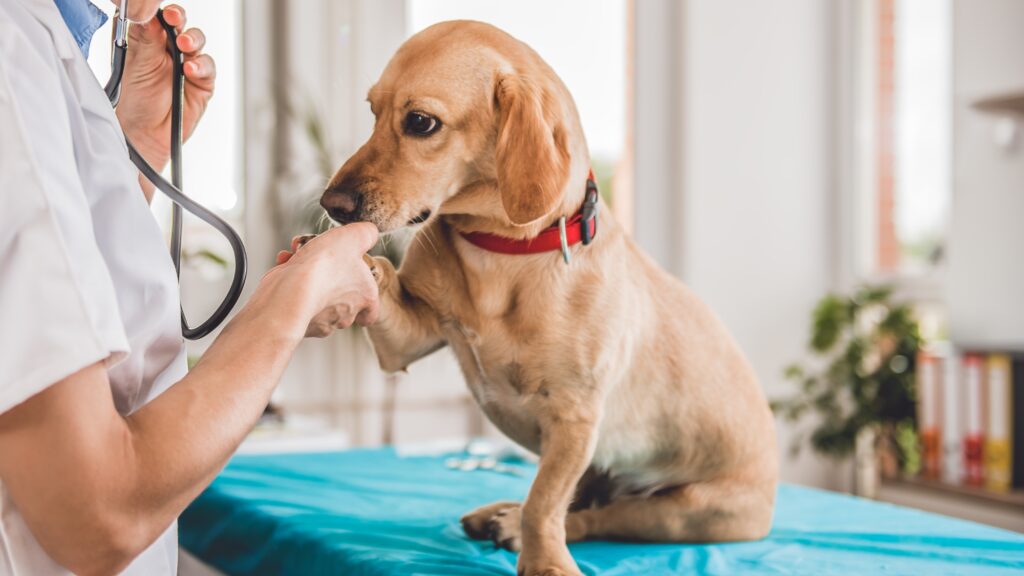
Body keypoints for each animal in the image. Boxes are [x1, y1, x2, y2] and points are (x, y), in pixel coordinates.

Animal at [319, 19, 774, 573]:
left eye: (421, 122)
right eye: (372, 112)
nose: (331, 205)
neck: (498, 251)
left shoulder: (573, 418)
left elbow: (544, 504)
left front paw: (543, 560)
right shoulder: (406, 342)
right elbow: (383, 280)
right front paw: (340, 263)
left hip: (687, 512)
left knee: (596, 516)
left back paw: (515, 525)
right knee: (581, 504)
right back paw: (499, 513)